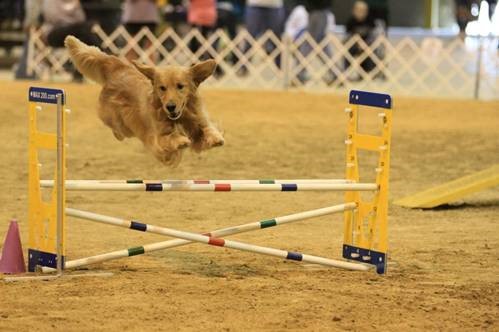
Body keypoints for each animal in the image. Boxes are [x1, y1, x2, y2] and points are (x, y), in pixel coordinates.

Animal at [64, 35, 225, 165]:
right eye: (162, 88)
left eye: (180, 86)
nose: (170, 107)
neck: (180, 117)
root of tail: (118, 67)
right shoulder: (157, 139)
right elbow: (169, 137)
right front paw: (181, 140)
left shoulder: (197, 122)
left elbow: (207, 129)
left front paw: (216, 138)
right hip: (117, 120)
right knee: (117, 129)